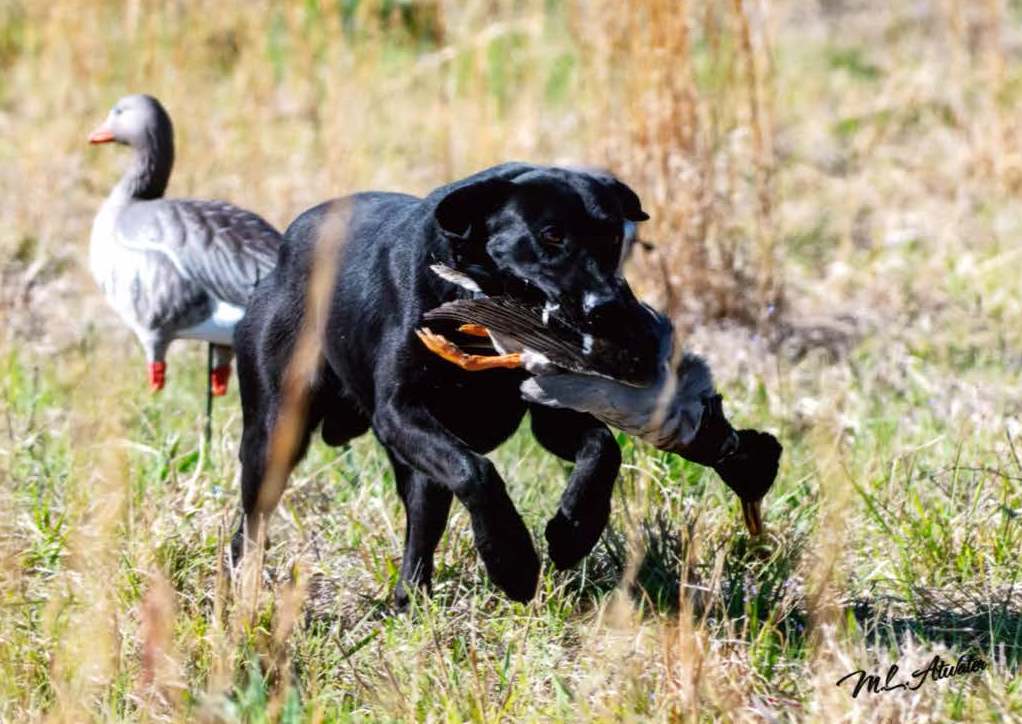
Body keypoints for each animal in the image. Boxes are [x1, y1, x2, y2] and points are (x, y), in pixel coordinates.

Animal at [233, 163, 654, 605]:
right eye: (551, 234)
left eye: (612, 235)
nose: (608, 308)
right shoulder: (401, 412)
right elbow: (477, 470)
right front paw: (513, 561)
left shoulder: (549, 417)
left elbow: (603, 449)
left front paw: (573, 531)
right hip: (276, 432)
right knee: (251, 521)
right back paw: (244, 586)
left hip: (413, 468)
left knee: (423, 519)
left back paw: (408, 596)